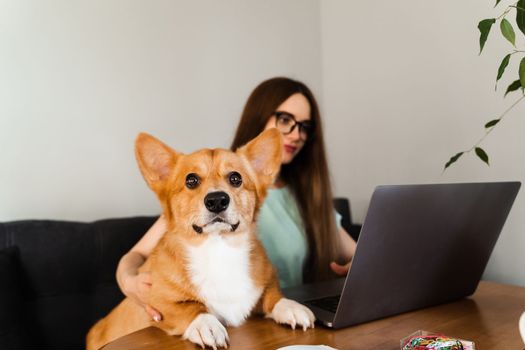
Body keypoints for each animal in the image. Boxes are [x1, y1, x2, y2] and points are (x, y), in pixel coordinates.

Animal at [87, 129, 314, 350]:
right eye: (191, 180)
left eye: (235, 178)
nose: (217, 200)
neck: (218, 248)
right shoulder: (156, 303)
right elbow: (188, 306)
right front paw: (206, 324)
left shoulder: (262, 288)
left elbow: (272, 296)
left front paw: (291, 306)